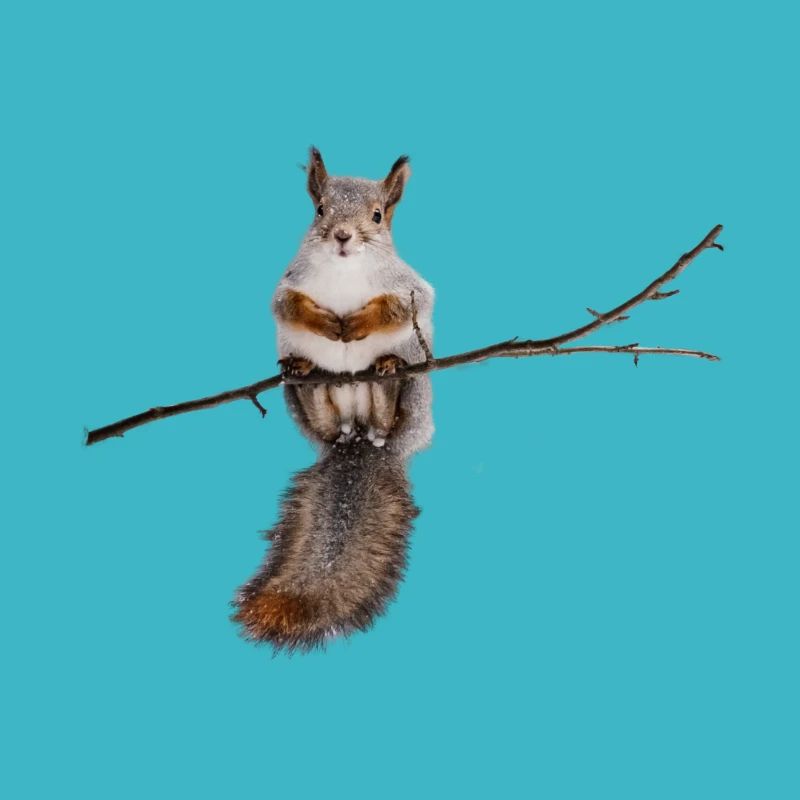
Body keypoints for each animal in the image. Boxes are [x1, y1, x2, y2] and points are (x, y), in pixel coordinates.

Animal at [231, 148, 435, 652]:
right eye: (319, 210)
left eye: (378, 216)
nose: (343, 236)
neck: (345, 272)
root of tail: (359, 438)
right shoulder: (287, 285)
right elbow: (287, 306)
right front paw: (325, 323)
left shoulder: (411, 287)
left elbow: (406, 305)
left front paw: (357, 323)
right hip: (303, 405)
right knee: (321, 408)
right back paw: (308, 374)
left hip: (414, 395)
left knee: (388, 408)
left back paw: (386, 372)